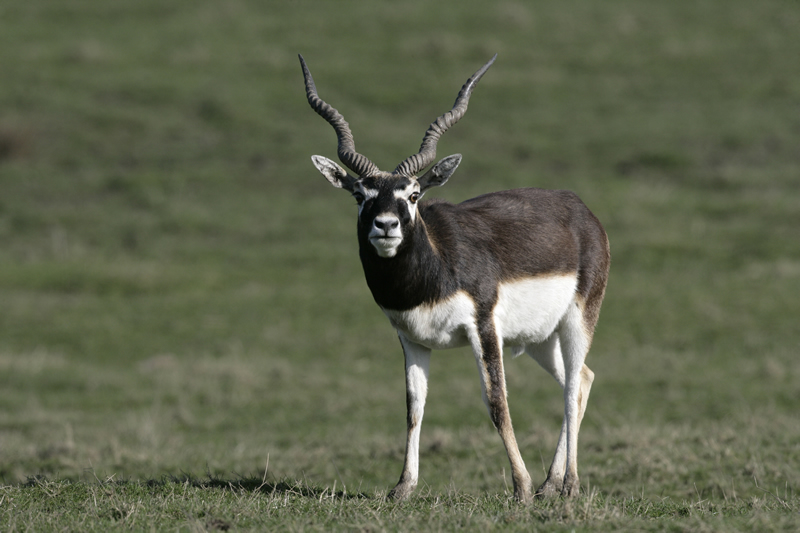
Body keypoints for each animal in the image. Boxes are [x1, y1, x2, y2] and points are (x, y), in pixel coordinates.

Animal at [299, 54, 609, 503]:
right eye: (360, 194)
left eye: (413, 194)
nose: (386, 226)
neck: (432, 274)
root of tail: (581, 209)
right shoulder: (411, 338)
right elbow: (414, 407)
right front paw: (402, 487)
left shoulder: (484, 328)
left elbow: (497, 403)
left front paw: (520, 487)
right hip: (539, 337)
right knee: (582, 378)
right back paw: (551, 483)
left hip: (578, 319)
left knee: (571, 390)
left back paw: (568, 484)